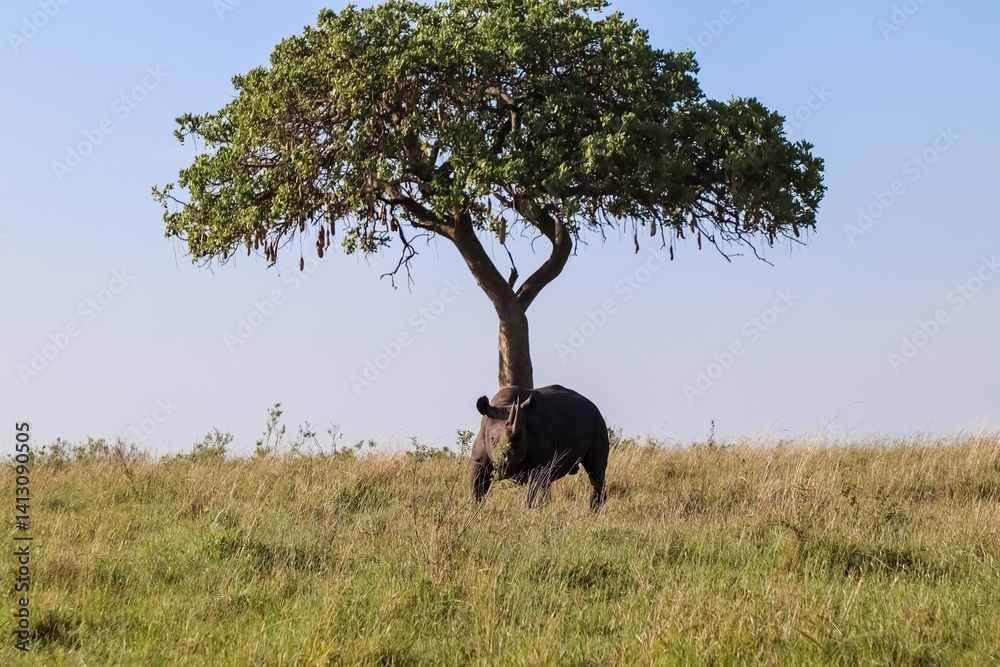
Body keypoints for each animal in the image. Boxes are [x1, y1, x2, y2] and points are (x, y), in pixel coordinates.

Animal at [470, 384, 609, 510]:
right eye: (492, 439)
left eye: (523, 436)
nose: (512, 458)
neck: (505, 404)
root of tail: (592, 404)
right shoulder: (479, 460)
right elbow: (477, 487)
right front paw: (474, 508)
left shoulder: (538, 464)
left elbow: (531, 491)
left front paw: (524, 511)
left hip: (598, 423)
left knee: (595, 472)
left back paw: (593, 511)